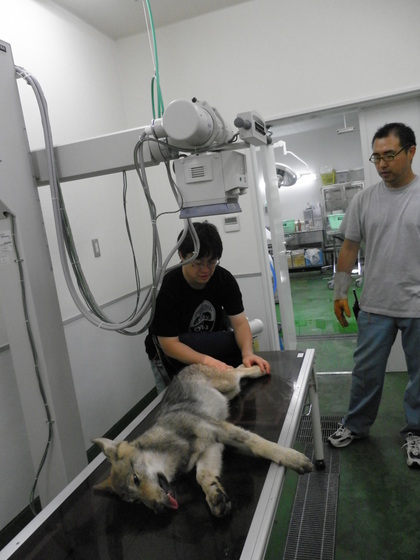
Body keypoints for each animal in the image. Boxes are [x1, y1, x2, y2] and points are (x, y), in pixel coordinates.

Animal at [93, 364, 313, 517]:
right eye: (136, 502)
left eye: (136, 479)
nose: (159, 510)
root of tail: (182, 370)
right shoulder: (212, 447)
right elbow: (203, 476)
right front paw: (214, 495)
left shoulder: (220, 430)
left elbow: (259, 444)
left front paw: (291, 457)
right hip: (230, 391)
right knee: (237, 368)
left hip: (230, 383)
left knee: (238, 370)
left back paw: (258, 368)